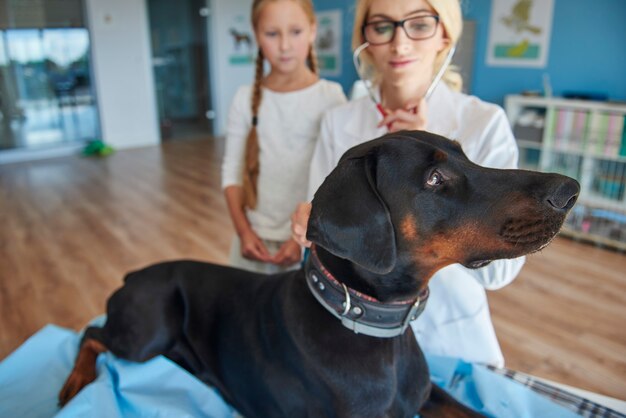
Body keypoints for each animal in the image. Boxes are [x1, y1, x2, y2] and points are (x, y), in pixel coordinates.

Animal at [57, 131, 576, 418]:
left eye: (466, 155)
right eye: (433, 180)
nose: (570, 190)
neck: (374, 326)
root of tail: (133, 275)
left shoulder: (428, 394)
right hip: (150, 328)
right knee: (91, 333)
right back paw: (71, 385)